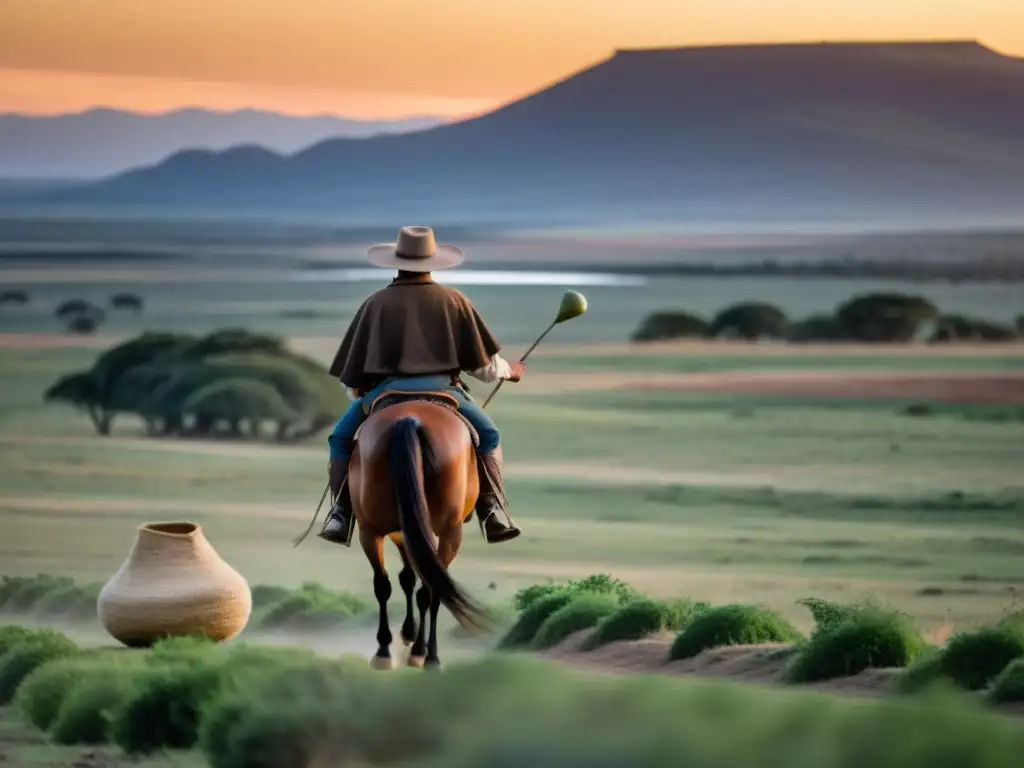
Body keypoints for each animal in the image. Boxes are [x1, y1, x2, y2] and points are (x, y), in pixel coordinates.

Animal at [352, 393, 491, 671]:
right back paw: (425, 654)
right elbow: (411, 578)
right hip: (447, 532)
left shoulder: (401, 531)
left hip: (372, 530)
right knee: (429, 586)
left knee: (390, 583)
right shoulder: (407, 531)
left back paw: (402, 651)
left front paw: (408, 634)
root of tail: (411, 419)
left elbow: (407, 578)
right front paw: (411, 637)